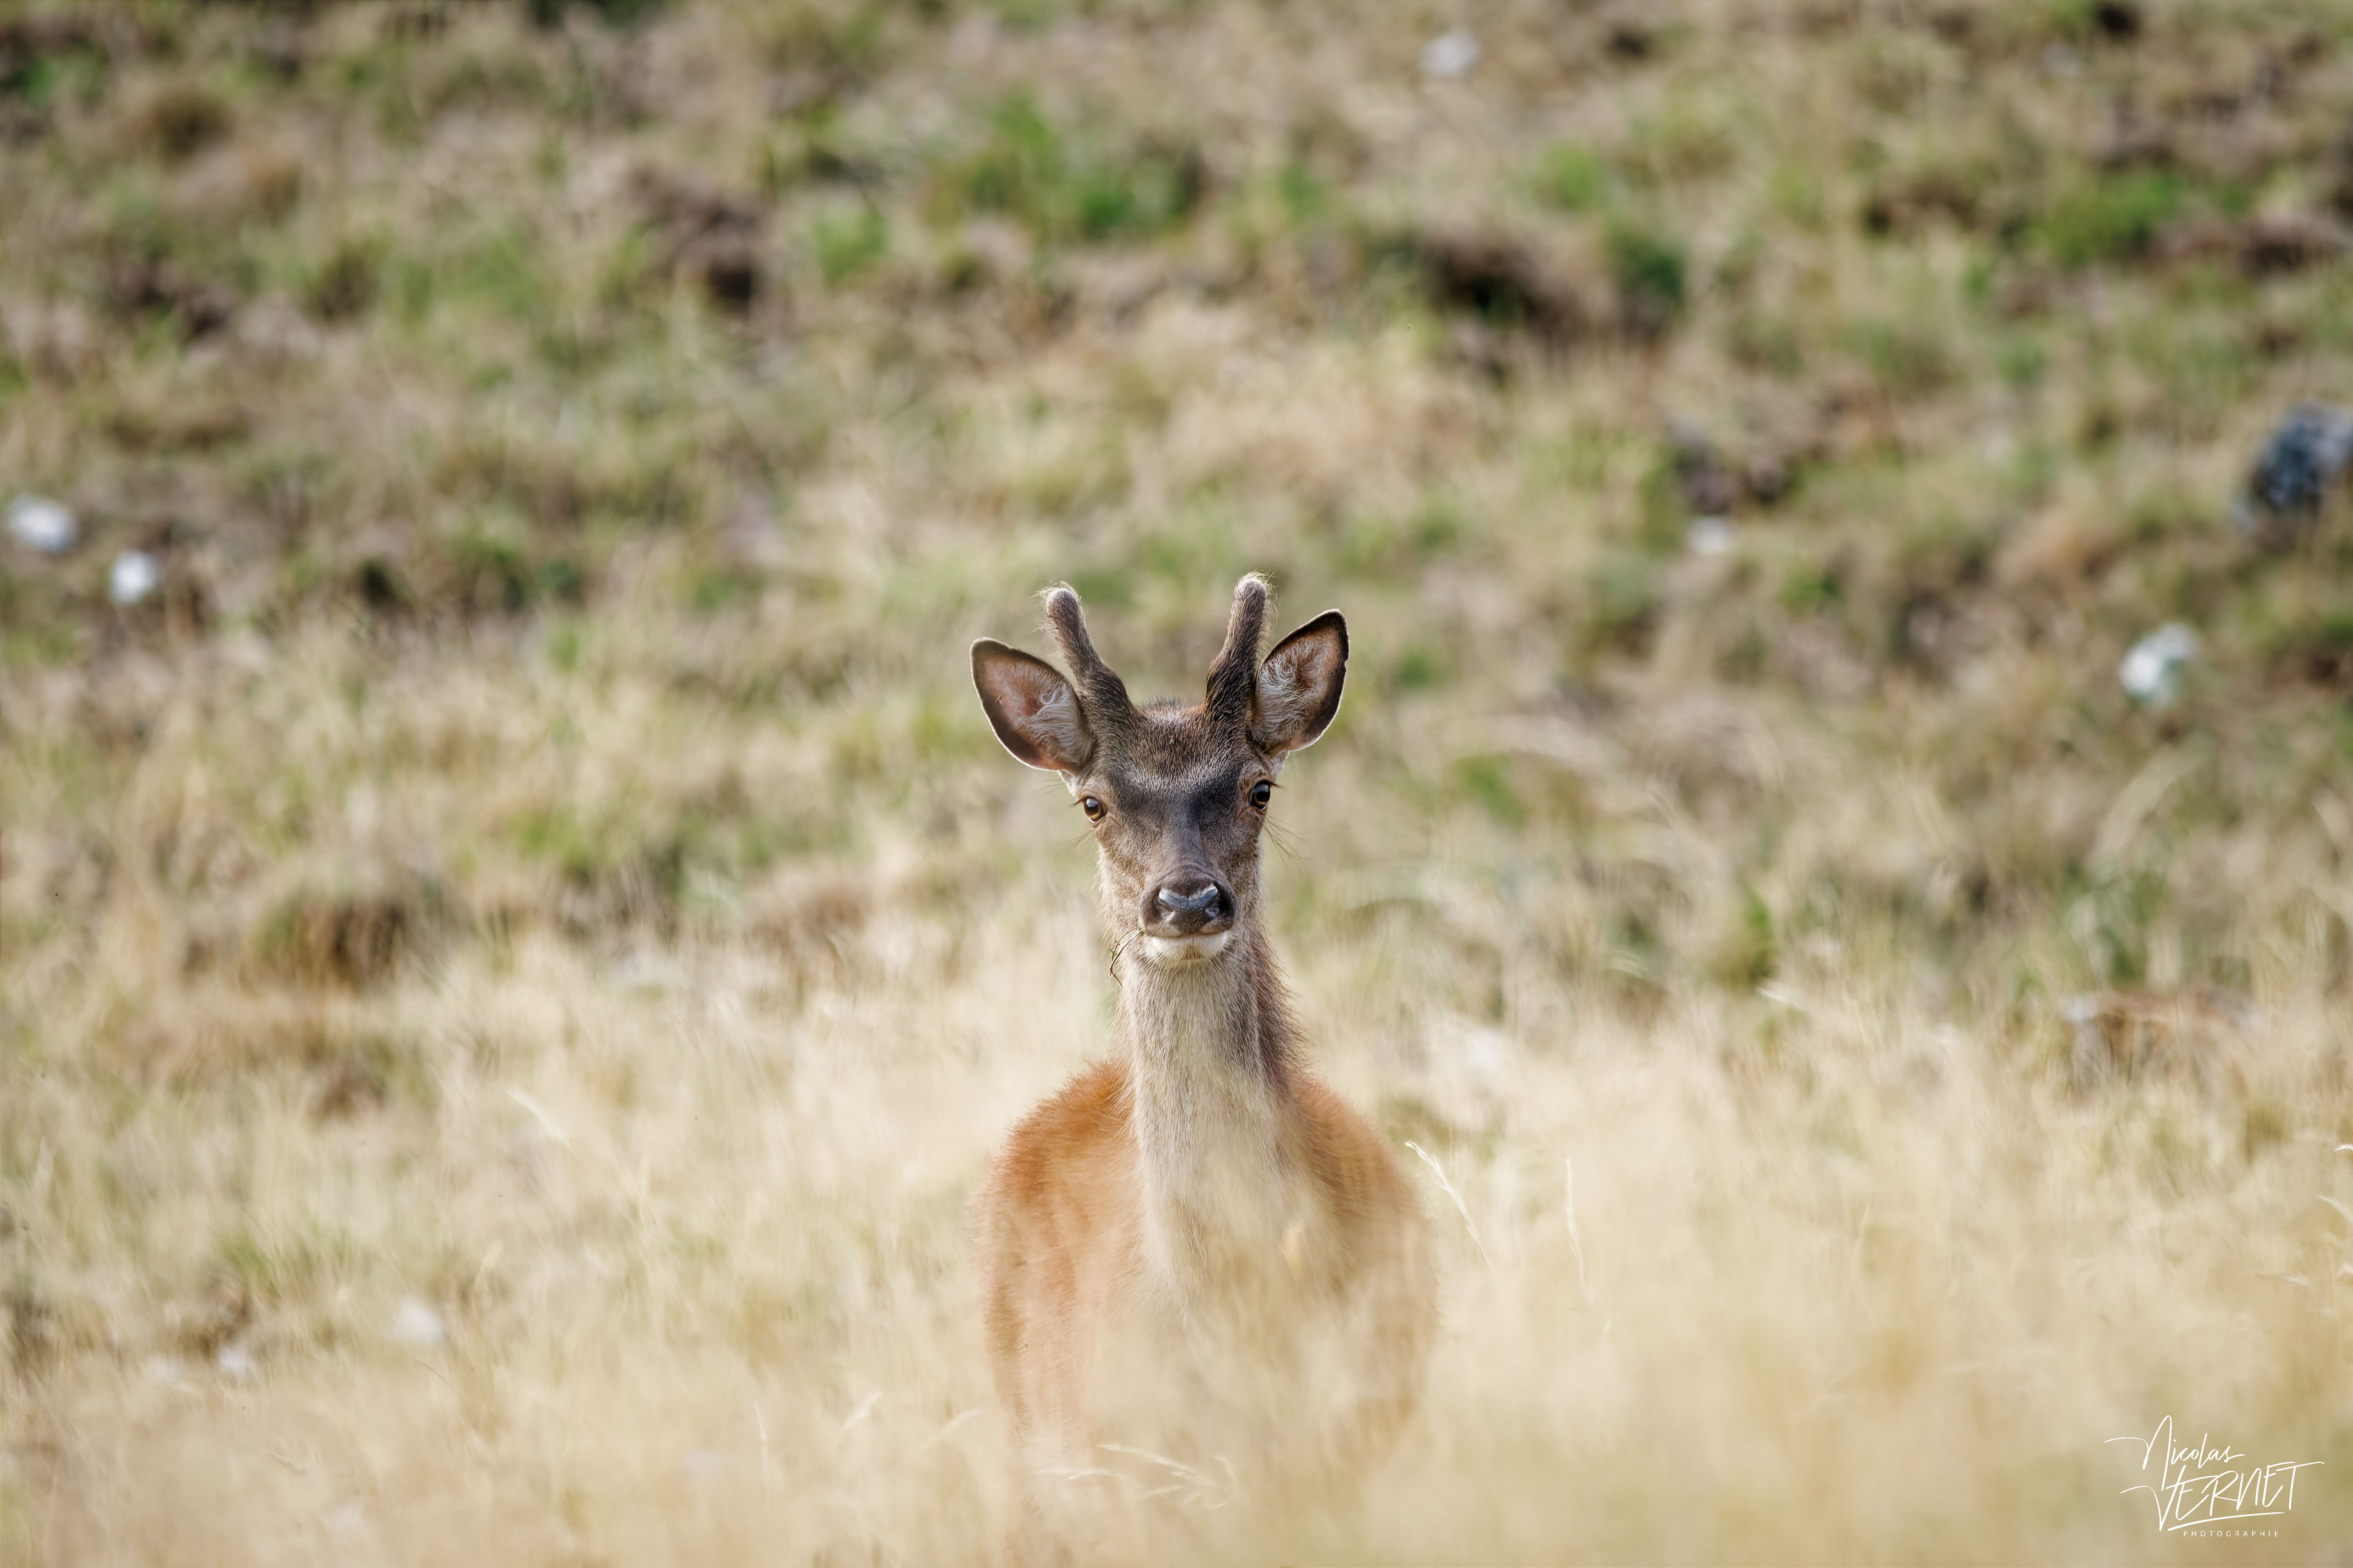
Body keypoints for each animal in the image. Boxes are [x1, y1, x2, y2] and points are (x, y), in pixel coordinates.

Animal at [968, 575, 1435, 1560]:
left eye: (1258, 787)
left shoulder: (1355, 1441)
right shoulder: (1125, 1477)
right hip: (1024, 1431)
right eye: (1093, 803)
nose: (1185, 901)